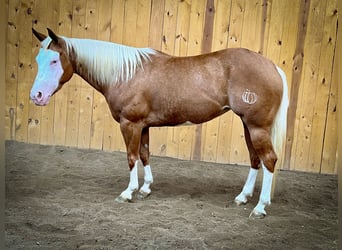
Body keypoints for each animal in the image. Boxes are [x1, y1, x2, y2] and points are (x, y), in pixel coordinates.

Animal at [30, 28, 288, 218]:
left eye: (54, 60)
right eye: (38, 59)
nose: (36, 96)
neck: (125, 73)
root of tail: (273, 67)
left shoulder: (130, 124)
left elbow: (131, 157)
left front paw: (128, 192)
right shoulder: (143, 126)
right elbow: (144, 154)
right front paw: (145, 188)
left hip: (257, 127)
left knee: (269, 160)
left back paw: (260, 207)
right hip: (248, 126)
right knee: (255, 160)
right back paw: (243, 197)